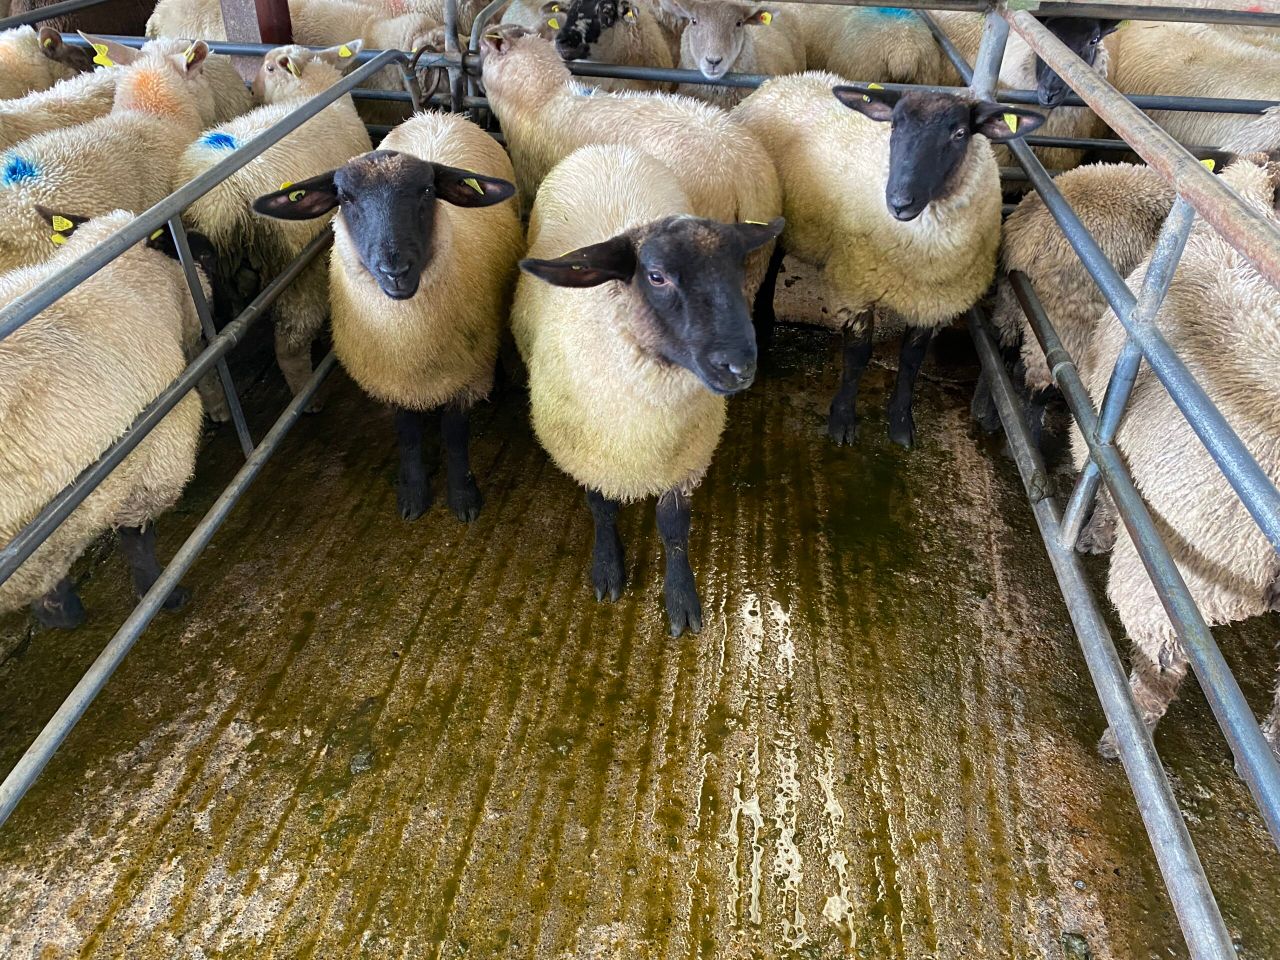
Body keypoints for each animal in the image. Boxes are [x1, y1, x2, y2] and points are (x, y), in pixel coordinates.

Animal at [176, 42, 372, 402]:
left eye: (269, 69)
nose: (252, 91)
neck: (310, 91)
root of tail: (220, 198)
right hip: (297, 267)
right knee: (289, 345)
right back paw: (306, 396)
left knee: (201, 367)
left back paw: (217, 404)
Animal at [251, 111, 523, 523]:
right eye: (344, 198)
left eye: (427, 190)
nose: (395, 270)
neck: (409, 340)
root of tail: (438, 115)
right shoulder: (392, 376)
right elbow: (407, 433)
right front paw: (413, 494)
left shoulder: (466, 374)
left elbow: (455, 435)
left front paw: (463, 497)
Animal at [513, 143, 783, 636]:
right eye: (656, 276)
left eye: (737, 272)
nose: (740, 367)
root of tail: (607, 148)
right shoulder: (589, 452)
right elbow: (600, 507)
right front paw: (608, 569)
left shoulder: (685, 458)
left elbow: (673, 526)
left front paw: (681, 598)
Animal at [735, 73, 1044, 448]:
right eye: (894, 126)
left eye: (959, 134)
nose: (899, 201)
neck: (924, 252)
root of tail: (782, 80)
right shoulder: (854, 286)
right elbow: (857, 356)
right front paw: (842, 421)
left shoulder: (935, 299)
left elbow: (911, 360)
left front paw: (900, 422)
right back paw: (764, 324)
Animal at [1064, 153, 1280, 762]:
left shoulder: (1098, 409)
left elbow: (1103, 480)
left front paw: (1092, 535)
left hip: (1178, 572)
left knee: (1161, 665)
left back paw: (1126, 734)